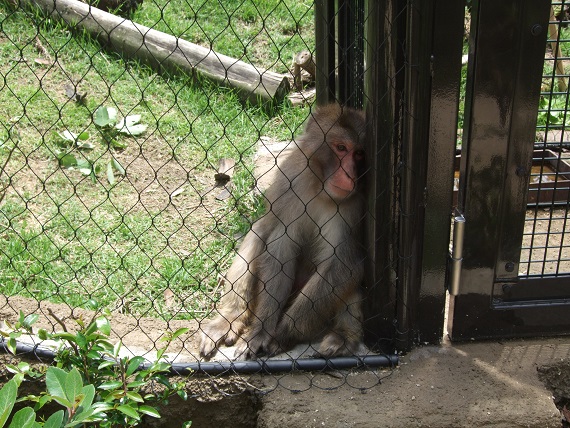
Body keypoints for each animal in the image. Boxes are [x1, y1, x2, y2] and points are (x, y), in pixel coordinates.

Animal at [197, 104, 366, 362]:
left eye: (358, 154)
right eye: (340, 148)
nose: (350, 175)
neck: (321, 189)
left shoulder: (354, 207)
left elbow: (343, 261)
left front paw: (282, 335)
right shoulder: (290, 181)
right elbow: (280, 244)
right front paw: (261, 332)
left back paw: (343, 336)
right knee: (259, 231)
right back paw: (229, 318)